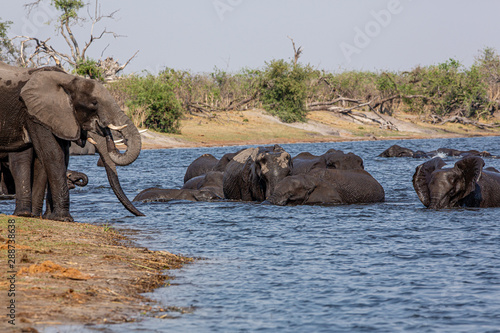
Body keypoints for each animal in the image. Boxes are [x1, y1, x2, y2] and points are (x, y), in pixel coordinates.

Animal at [0, 61, 145, 220]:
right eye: (94, 103)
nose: (143, 214)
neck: (68, 80)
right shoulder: (35, 113)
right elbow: (52, 155)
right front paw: (63, 218)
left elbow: (57, 158)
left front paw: (49, 217)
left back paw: (25, 214)